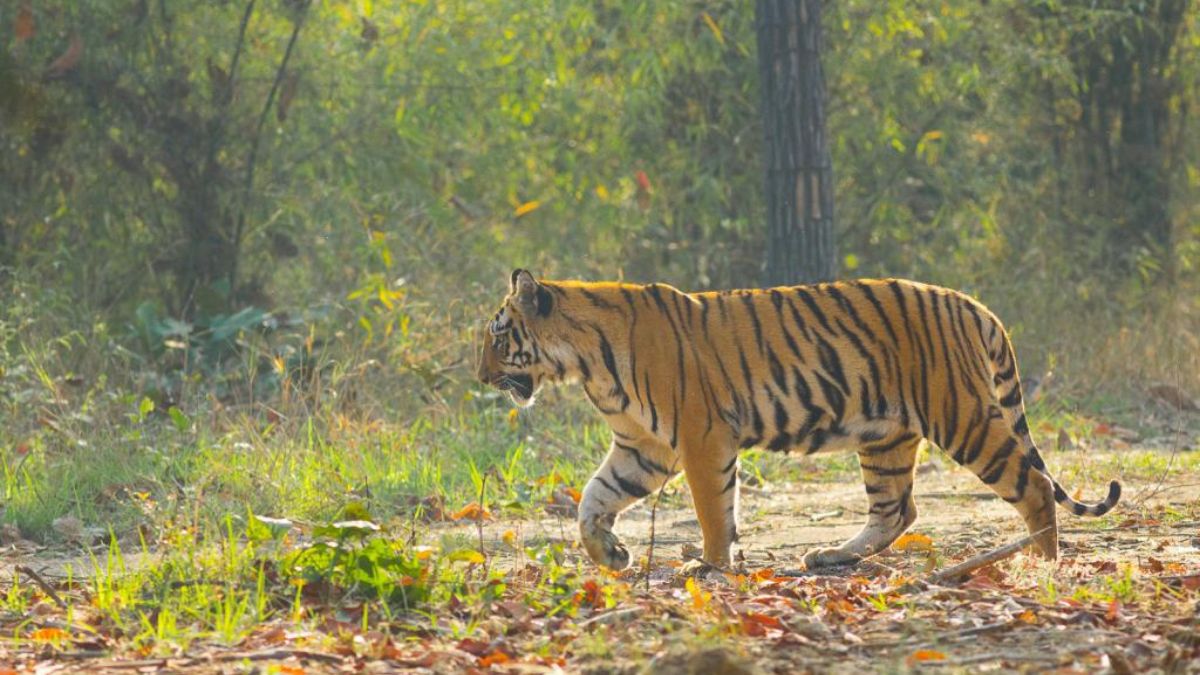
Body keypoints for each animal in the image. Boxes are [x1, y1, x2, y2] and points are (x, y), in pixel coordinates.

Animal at [472, 269, 1118, 571]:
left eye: (499, 339)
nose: (479, 376)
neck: (583, 362)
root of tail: (975, 305)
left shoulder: (701, 437)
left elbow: (713, 510)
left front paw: (711, 565)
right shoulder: (642, 448)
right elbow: (593, 499)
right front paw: (610, 554)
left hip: (960, 415)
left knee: (1032, 484)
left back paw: (1040, 561)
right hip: (885, 434)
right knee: (896, 509)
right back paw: (833, 555)